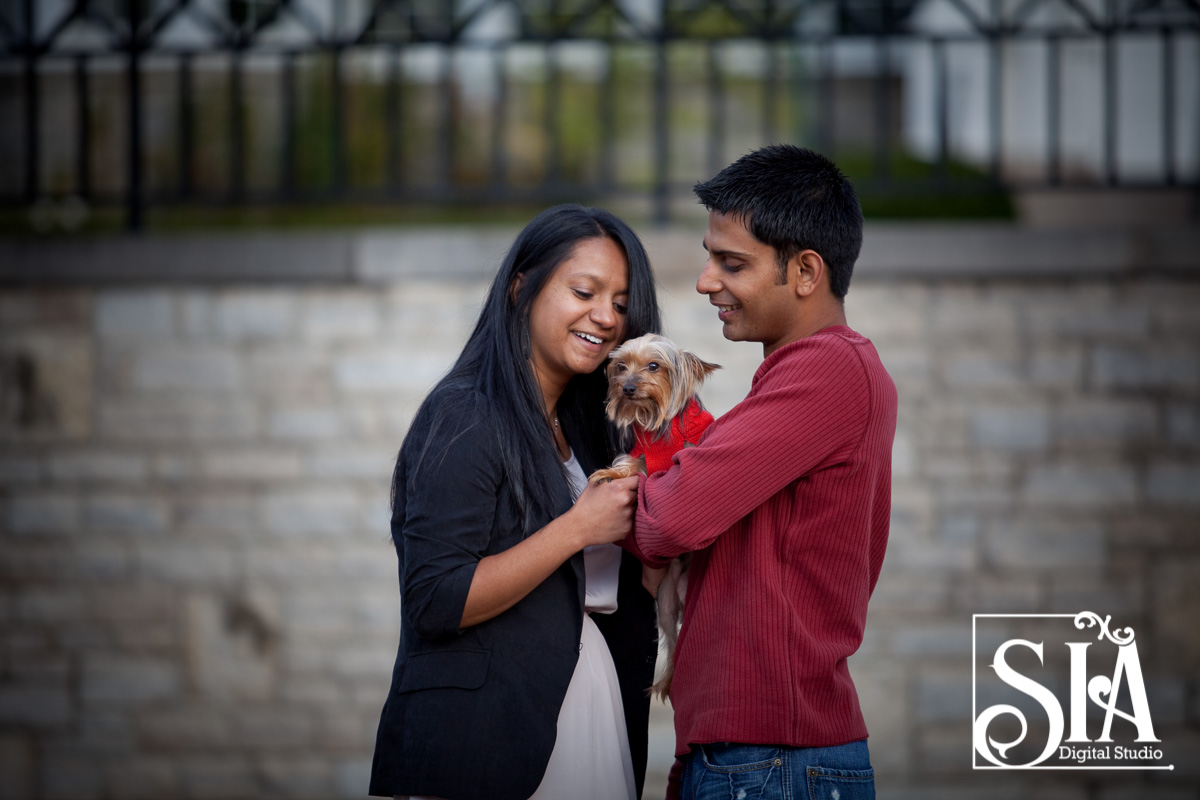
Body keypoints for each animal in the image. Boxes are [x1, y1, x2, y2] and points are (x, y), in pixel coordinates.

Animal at [588, 333, 715, 700]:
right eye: (620, 366)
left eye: (654, 366)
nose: (628, 387)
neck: (657, 423)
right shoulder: (640, 455)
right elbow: (629, 465)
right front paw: (609, 475)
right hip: (668, 598)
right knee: (672, 637)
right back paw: (668, 681)